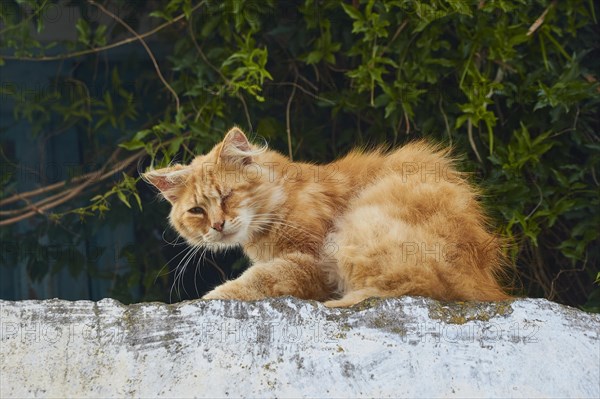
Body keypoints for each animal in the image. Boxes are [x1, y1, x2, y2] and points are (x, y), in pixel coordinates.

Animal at [143, 126, 508, 308]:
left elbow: (260, 278)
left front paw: (212, 296)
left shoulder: (314, 261)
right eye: (196, 211)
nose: (217, 225)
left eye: (226, 196)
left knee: (413, 285)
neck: (283, 195)